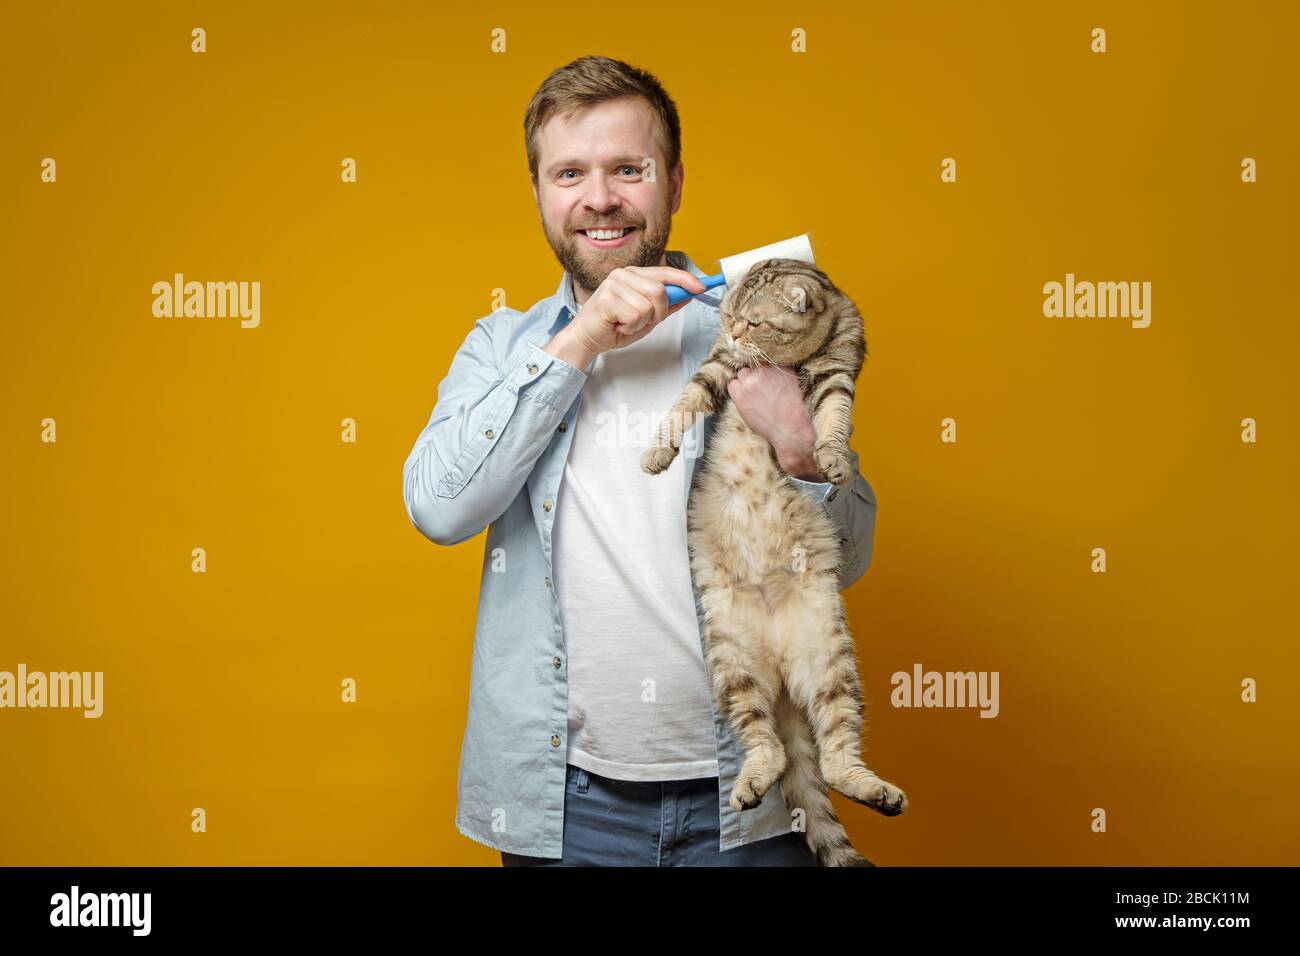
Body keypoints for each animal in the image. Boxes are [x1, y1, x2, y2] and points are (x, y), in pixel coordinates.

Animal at [637, 260, 904, 868]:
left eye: (755, 322)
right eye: (729, 316)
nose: (734, 332)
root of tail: (781, 673)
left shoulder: (838, 372)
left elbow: (833, 419)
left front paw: (832, 459)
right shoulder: (719, 368)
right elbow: (683, 404)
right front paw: (658, 451)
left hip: (831, 663)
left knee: (833, 756)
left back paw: (875, 790)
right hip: (732, 664)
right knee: (771, 748)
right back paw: (752, 783)